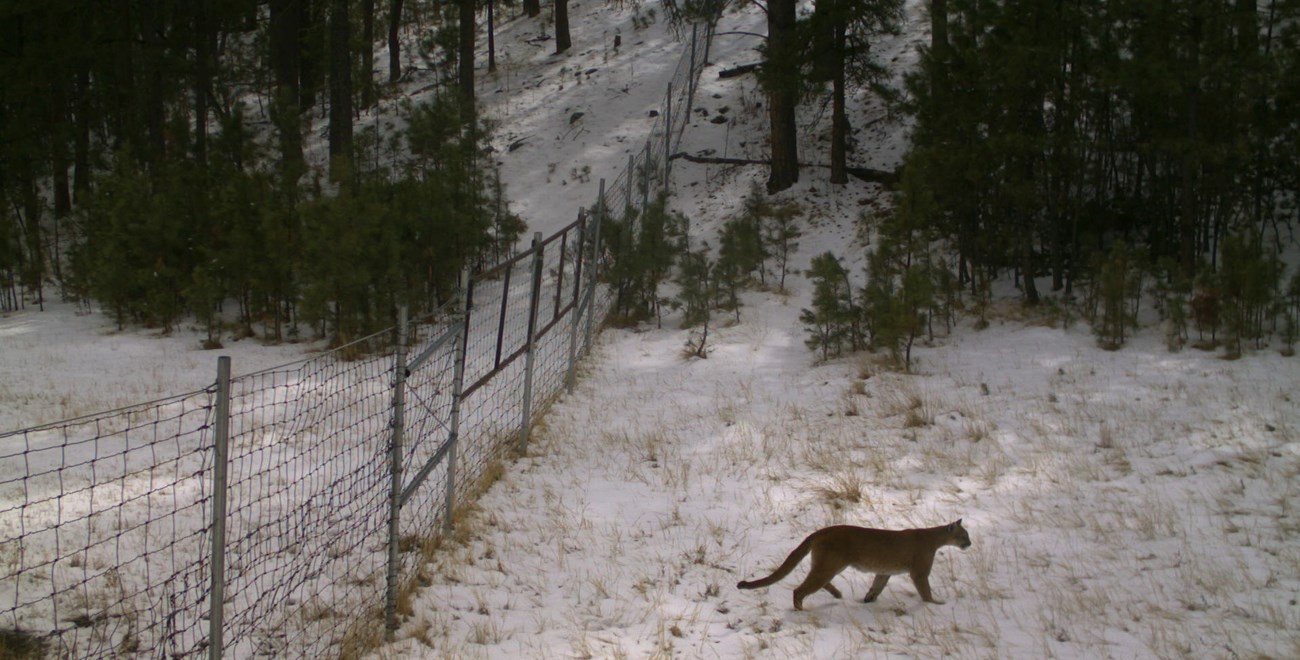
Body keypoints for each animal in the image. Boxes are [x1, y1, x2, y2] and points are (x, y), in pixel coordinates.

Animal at [738, 522, 972, 610]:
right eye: (964, 535)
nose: (969, 543)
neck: (934, 538)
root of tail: (822, 530)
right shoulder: (920, 572)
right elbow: (925, 591)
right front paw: (936, 604)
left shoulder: (884, 572)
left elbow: (877, 586)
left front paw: (868, 600)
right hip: (829, 565)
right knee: (800, 589)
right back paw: (801, 611)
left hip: (829, 565)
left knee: (816, 583)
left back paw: (837, 594)